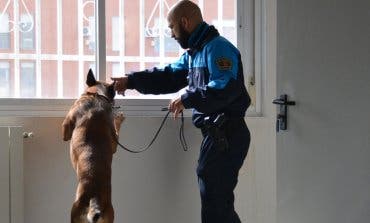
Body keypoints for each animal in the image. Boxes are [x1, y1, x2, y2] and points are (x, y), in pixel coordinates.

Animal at [61, 69, 123, 223]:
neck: (97, 96)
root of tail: (95, 197)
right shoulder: (114, 142)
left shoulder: (66, 127)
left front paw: (119, 118)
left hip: (74, 213)